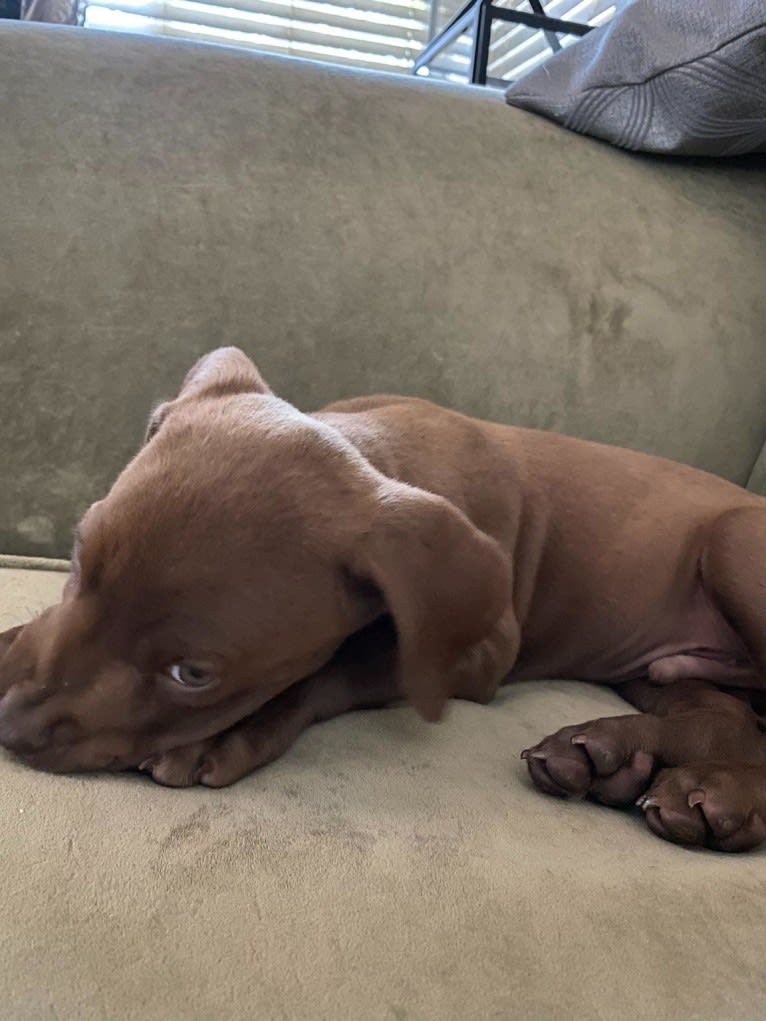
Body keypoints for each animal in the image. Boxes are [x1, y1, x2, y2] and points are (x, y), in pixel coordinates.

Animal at [1, 347, 766, 849]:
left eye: (191, 674)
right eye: (76, 556)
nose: (9, 724)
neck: (387, 453)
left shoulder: (478, 654)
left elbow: (351, 662)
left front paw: (226, 732)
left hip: (736, 544)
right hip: (663, 673)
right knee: (729, 723)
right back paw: (628, 761)